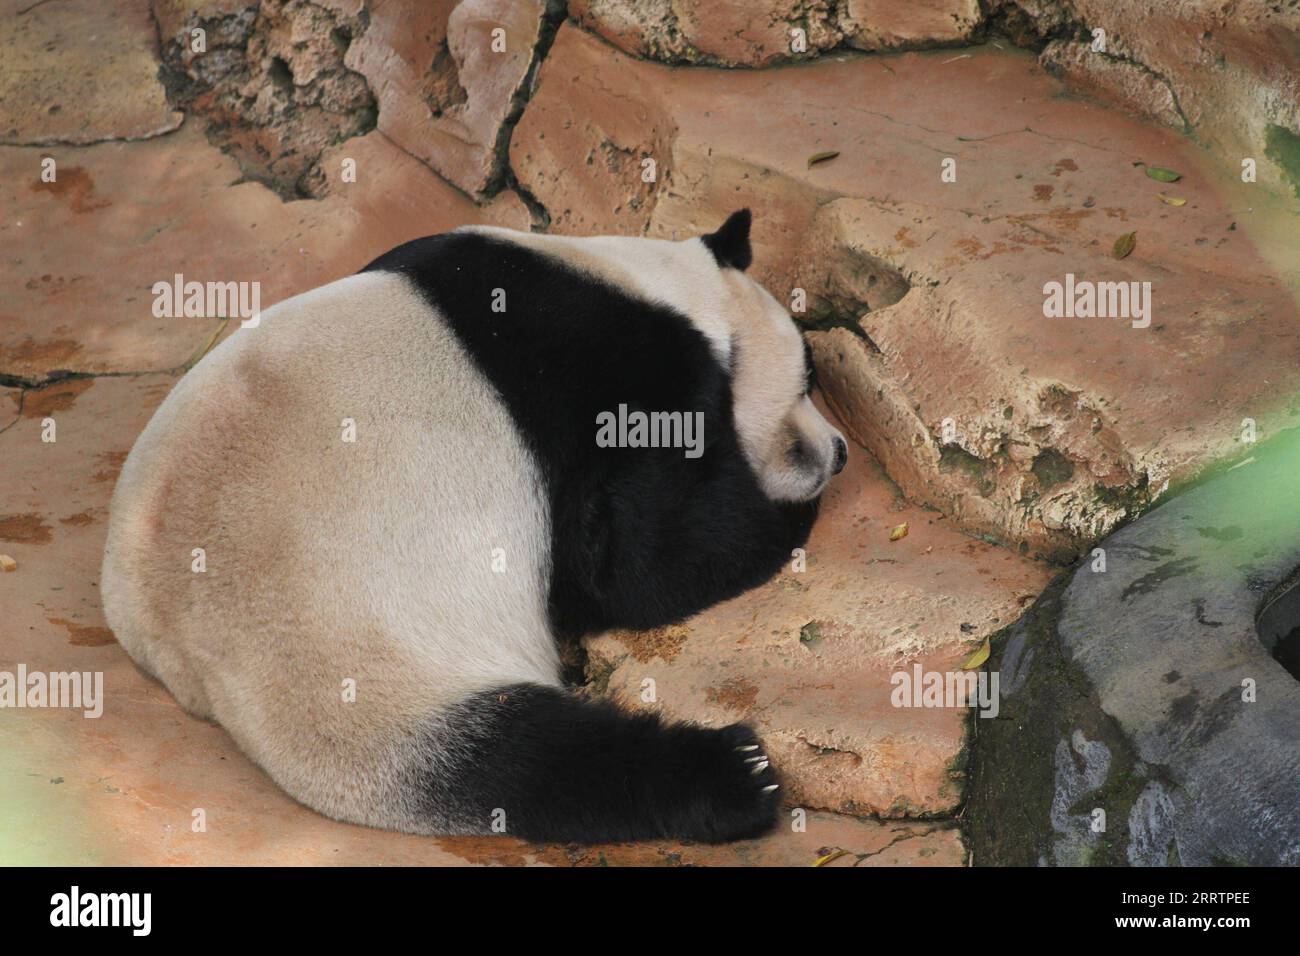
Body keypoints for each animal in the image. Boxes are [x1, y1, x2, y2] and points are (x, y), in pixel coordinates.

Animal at [104, 209, 852, 842]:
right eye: (809, 378)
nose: (840, 452)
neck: (661, 286)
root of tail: (194, 663)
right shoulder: (618, 378)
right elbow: (641, 568)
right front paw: (783, 514)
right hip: (366, 664)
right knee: (524, 762)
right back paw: (735, 775)